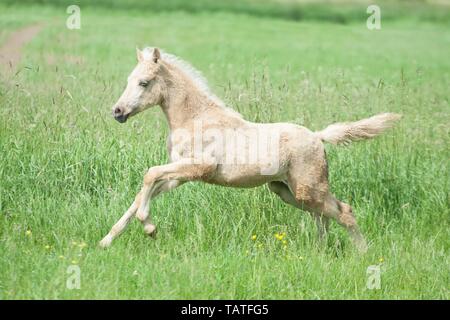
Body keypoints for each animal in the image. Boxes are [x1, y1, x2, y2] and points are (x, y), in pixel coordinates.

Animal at [99, 48, 400, 252]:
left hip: (307, 188)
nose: (117, 112)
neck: (196, 118)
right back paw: (321, 249)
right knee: (323, 214)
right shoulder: (179, 176)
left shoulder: (198, 168)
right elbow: (142, 193)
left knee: (343, 211)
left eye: (144, 83)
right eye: (129, 80)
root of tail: (318, 137)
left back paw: (363, 253)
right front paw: (106, 240)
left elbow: (149, 175)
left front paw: (150, 229)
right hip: (287, 191)